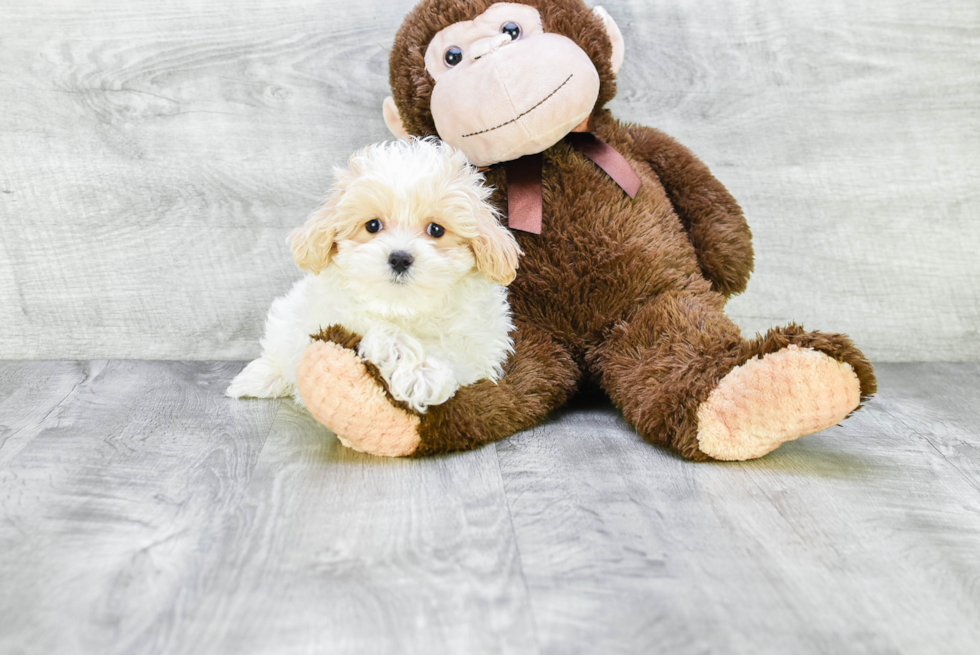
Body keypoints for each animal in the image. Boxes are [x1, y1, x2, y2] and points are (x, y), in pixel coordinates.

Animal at [228, 140, 520, 412]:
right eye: (372, 225)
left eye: (436, 230)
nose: (400, 258)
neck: (403, 307)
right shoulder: (328, 315)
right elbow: (373, 328)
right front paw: (403, 355)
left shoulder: (482, 345)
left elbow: (456, 352)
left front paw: (422, 374)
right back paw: (258, 378)